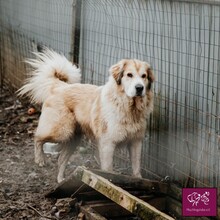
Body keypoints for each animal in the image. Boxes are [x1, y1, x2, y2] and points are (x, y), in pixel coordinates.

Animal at [19, 49, 156, 183]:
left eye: (144, 76)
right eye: (129, 75)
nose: (139, 88)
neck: (129, 108)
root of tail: (60, 86)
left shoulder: (135, 142)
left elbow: (136, 168)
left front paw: (138, 180)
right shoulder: (108, 143)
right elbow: (108, 169)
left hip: (73, 139)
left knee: (61, 159)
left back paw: (61, 180)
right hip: (61, 131)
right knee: (37, 137)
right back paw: (40, 159)